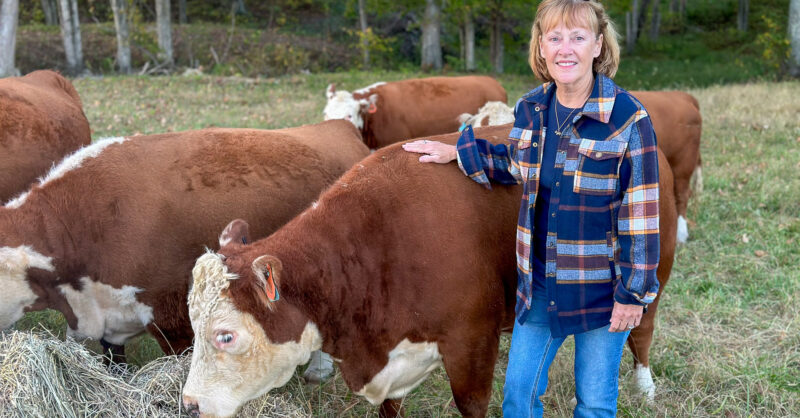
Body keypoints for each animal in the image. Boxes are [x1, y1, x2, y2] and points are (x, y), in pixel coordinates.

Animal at [181, 124, 676, 417]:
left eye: (226, 335)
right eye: (193, 325)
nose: (188, 405)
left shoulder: (471, 344)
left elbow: (472, 403)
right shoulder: (389, 361)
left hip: (654, 272)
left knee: (641, 330)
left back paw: (645, 386)